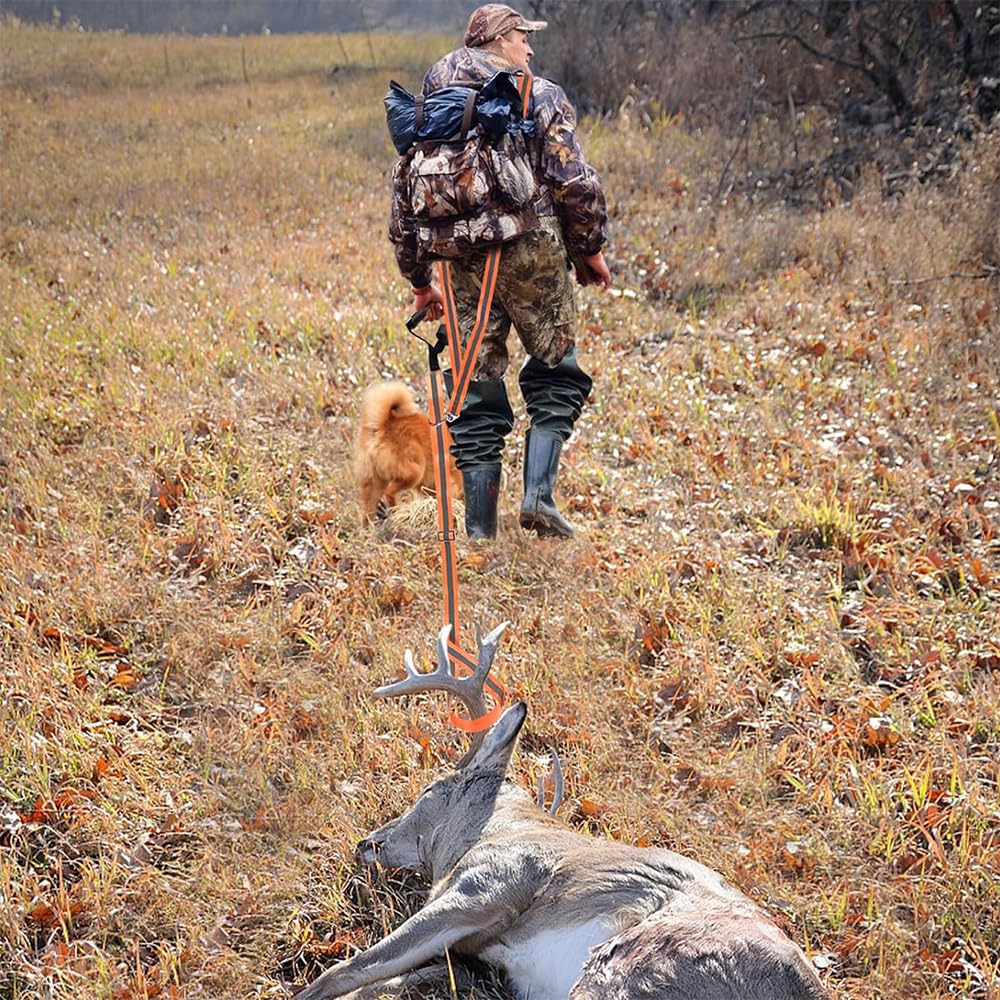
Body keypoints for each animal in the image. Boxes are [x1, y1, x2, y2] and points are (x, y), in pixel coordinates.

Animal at [294, 623, 829, 1000]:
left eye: (430, 787)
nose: (369, 842)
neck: (493, 831)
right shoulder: (479, 960)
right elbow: (392, 979)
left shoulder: (487, 887)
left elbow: (344, 972)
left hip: (631, 966)